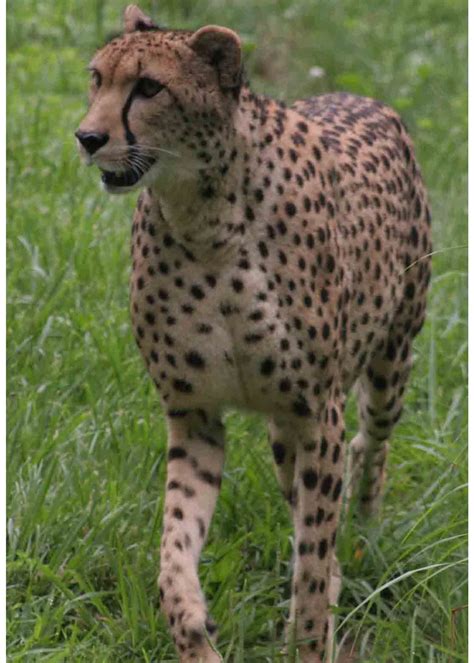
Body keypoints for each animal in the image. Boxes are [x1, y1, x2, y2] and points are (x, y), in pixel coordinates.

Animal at [75, 5, 432, 662]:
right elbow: (174, 550)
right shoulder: (195, 417)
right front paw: (194, 631)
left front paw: (310, 638)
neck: (206, 220)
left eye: (149, 87)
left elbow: (312, 560)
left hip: (390, 361)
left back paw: (366, 527)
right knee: (304, 494)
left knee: (370, 447)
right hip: (285, 432)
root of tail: (359, 95)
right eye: (97, 79)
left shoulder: (318, 410)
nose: (87, 138)